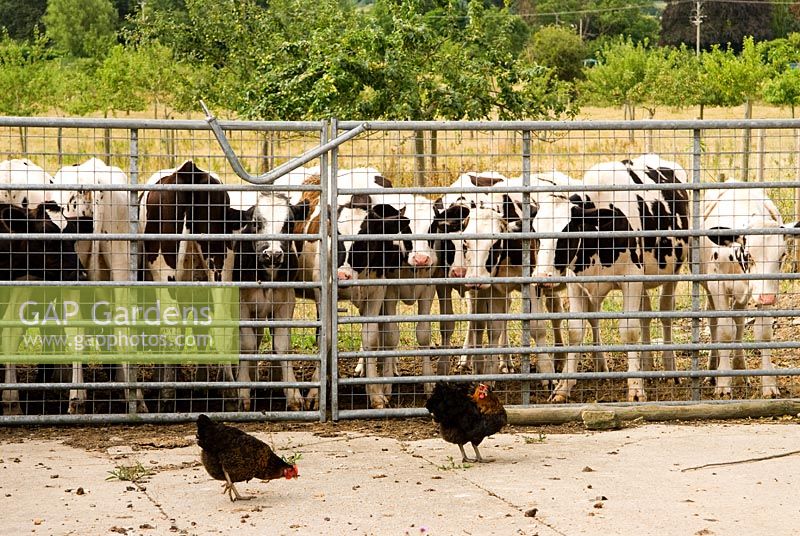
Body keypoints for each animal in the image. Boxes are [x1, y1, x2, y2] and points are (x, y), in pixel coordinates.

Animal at [532, 155, 688, 402]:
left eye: (567, 232)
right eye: (535, 232)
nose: (542, 277)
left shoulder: (632, 280)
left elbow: (629, 331)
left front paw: (635, 389)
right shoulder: (576, 284)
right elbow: (575, 331)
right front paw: (563, 388)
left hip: (673, 272)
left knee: (665, 313)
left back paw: (668, 367)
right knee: (644, 316)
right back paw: (645, 366)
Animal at [700, 183, 792, 398]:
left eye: (782, 255)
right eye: (749, 255)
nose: (767, 298)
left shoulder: (767, 289)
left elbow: (763, 333)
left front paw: (768, 385)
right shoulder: (717, 286)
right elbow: (725, 332)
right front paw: (723, 383)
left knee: (739, 321)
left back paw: (740, 369)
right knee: (714, 322)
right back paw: (713, 369)